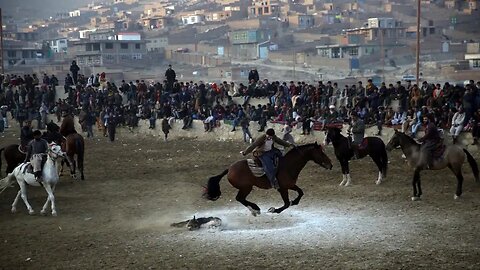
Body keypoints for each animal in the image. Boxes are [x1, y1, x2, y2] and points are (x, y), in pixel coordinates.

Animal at [203, 142, 334, 216]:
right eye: (321, 153)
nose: (331, 164)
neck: (288, 165)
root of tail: (229, 169)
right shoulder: (282, 189)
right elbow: (286, 204)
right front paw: (274, 210)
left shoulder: (290, 185)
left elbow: (300, 193)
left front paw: (295, 202)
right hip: (246, 188)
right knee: (240, 198)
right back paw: (255, 210)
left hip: (246, 188)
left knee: (241, 199)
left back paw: (256, 209)